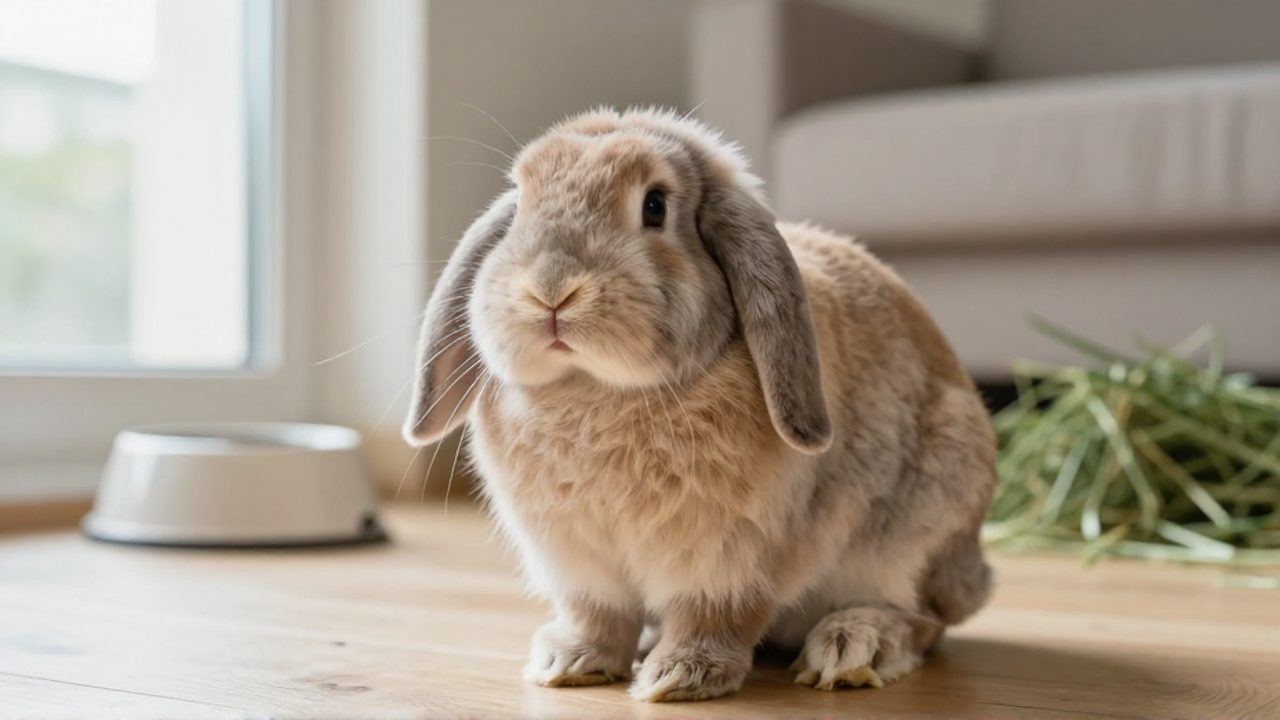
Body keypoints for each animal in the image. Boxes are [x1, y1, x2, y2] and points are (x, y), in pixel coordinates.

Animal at [403, 107, 996, 702]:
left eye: (655, 206)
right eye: (522, 201)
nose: (551, 290)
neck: (601, 389)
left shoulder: (728, 560)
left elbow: (713, 616)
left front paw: (679, 677)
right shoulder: (580, 565)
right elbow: (596, 616)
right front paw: (570, 662)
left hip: (920, 525)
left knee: (922, 618)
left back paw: (852, 646)